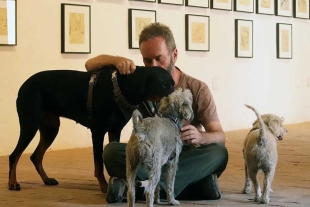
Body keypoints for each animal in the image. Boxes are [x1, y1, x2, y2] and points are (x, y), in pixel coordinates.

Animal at [8, 64, 174, 192]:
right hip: (30, 124)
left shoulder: (115, 130)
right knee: (14, 155)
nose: (177, 98)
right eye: (163, 85)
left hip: (51, 128)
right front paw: (104, 185)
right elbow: (98, 162)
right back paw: (13, 183)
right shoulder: (98, 131)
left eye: (172, 83)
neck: (121, 88)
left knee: (36, 156)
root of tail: (23, 86)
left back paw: (47, 179)